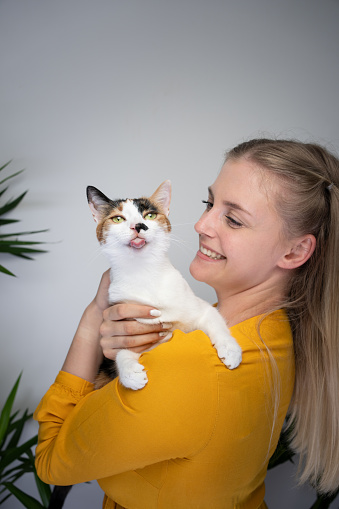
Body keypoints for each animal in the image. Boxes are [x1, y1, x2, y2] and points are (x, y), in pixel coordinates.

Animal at [87, 179, 242, 388]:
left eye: (150, 215)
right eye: (118, 219)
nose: (139, 225)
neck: (145, 272)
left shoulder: (199, 308)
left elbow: (214, 319)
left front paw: (230, 349)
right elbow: (121, 352)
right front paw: (129, 372)